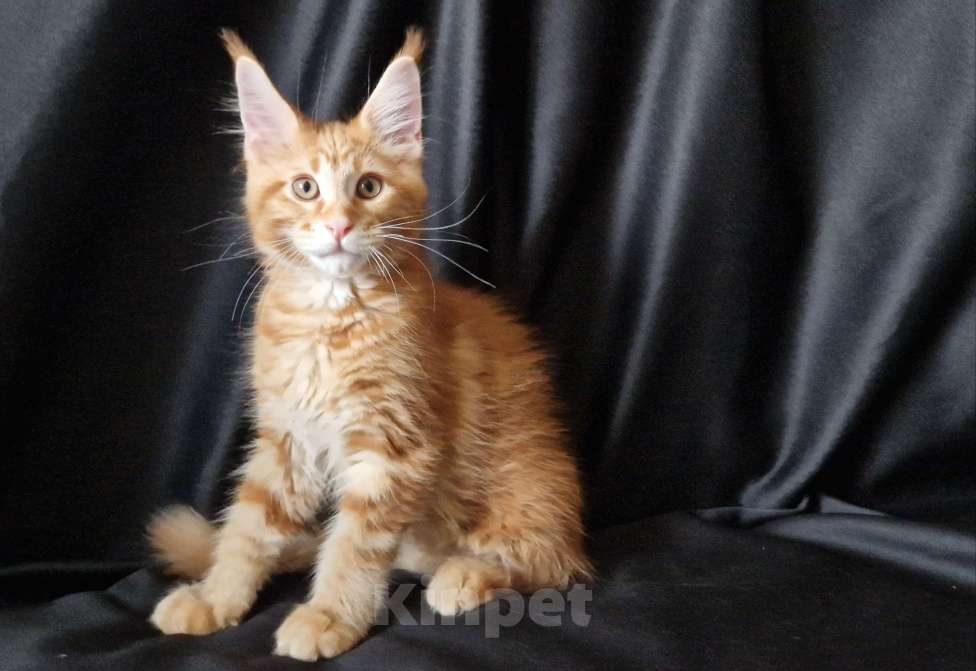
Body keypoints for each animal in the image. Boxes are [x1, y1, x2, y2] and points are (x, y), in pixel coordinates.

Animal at [148, 27, 592, 661]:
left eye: (369, 187)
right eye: (305, 188)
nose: (338, 225)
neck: (329, 319)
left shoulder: (396, 446)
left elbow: (353, 545)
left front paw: (330, 615)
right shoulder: (286, 438)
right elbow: (248, 526)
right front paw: (217, 595)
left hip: (530, 483)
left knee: (549, 563)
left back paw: (467, 573)